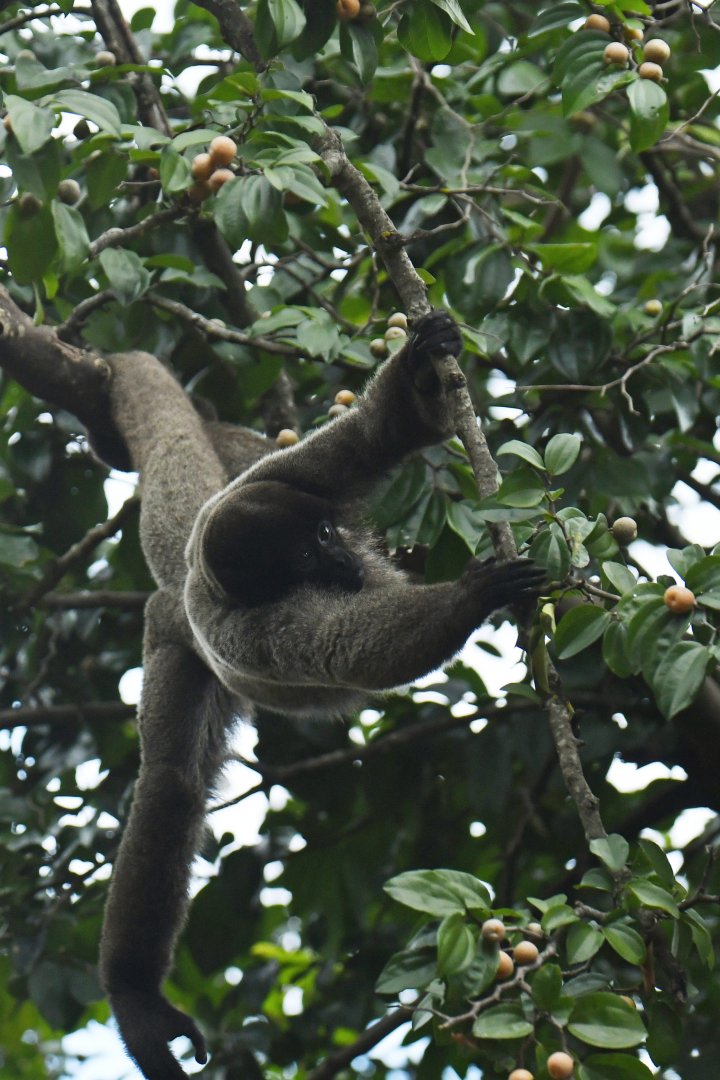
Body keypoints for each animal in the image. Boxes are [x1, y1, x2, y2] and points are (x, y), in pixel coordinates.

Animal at [95, 310, 545, 1079]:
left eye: (329, 531)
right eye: (307, 555)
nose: (343, 559)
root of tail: (183, 578)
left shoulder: (283, 479)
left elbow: (368, 440)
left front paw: (422, 364)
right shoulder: (264, 628)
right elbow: (355, 648)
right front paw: (469, 599)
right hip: (177, 647)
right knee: (171, 782)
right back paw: (136, 999)